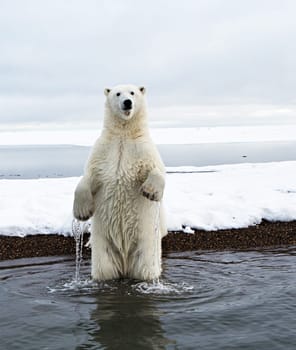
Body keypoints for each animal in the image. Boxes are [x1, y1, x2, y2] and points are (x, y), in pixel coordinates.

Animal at [72, 85, 166, 282]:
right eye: (117, 93)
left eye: (132, 93)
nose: (127, 103)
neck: (123, 135)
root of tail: (125, 264)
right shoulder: (103, 150)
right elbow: (89, 177)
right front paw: (82, 212)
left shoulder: (142, 149)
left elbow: (156, 170)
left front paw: (150, 191)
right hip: (104, 249)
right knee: (105, 269)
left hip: (145, 248)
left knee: (146, 269)